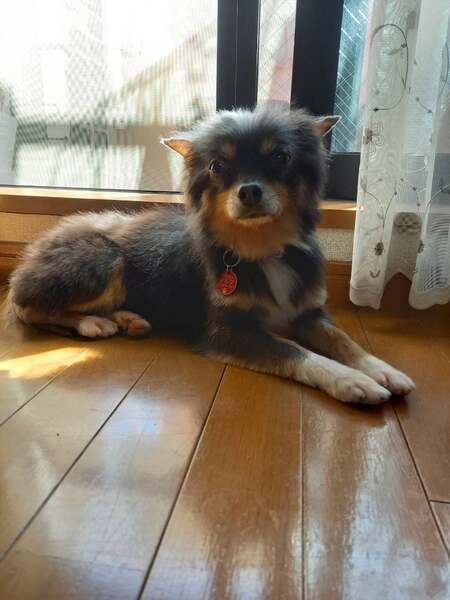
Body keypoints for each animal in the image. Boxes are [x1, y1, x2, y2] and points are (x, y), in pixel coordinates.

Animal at [7, 106, 415, 404]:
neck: (261, 249)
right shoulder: (226, 331)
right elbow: (294, 351)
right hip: (103, 261)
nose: (249, 191)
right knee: (29, 307)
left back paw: (126, 318)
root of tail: (35, 248)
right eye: (218, 166)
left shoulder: (310, 312)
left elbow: (343, 340)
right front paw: (350, 379)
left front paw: (381, 369)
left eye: (281, 157)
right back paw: (94, 322)